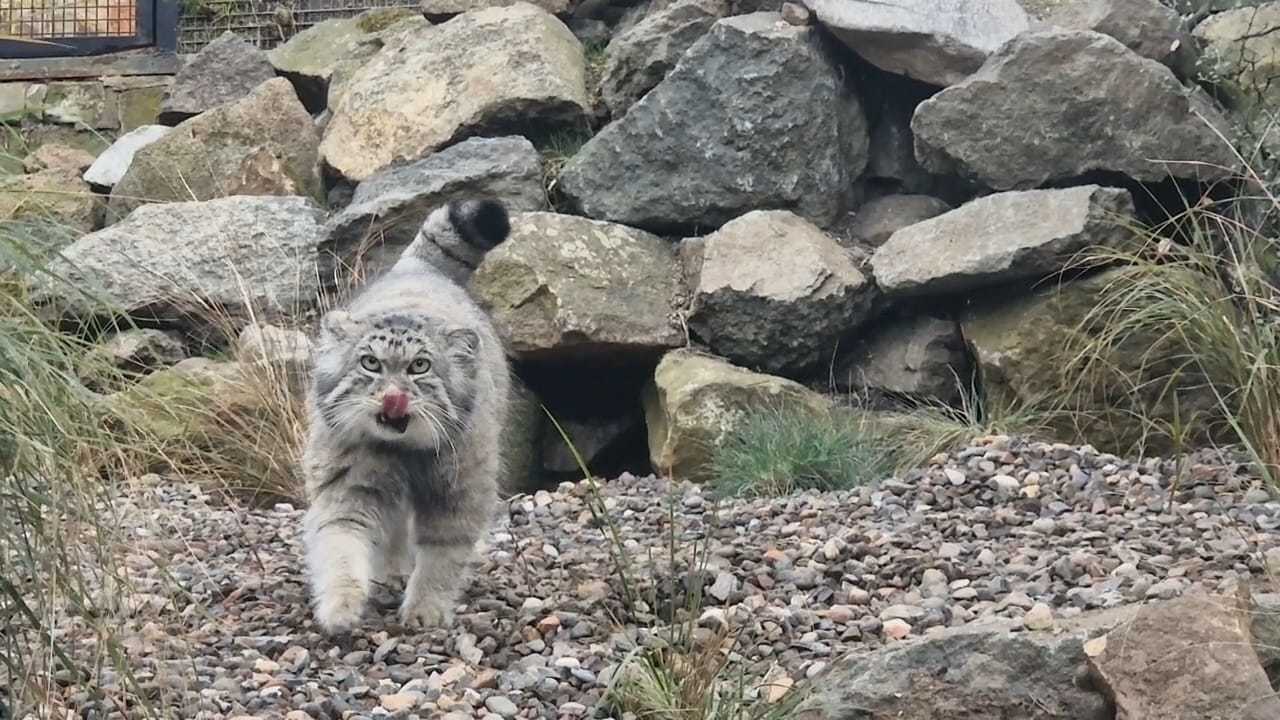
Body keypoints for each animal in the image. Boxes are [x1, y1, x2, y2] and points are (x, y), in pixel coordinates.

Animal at [302, 198, 512, 630]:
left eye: (420, 367)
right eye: (370, 363)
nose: (393, 397)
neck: (403, 452)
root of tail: (418, 270)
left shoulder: (458, 494)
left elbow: (442, 559)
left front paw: (426, 608)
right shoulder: (347, 488)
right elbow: (340, 548)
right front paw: (341, 606)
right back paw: (394, 569)